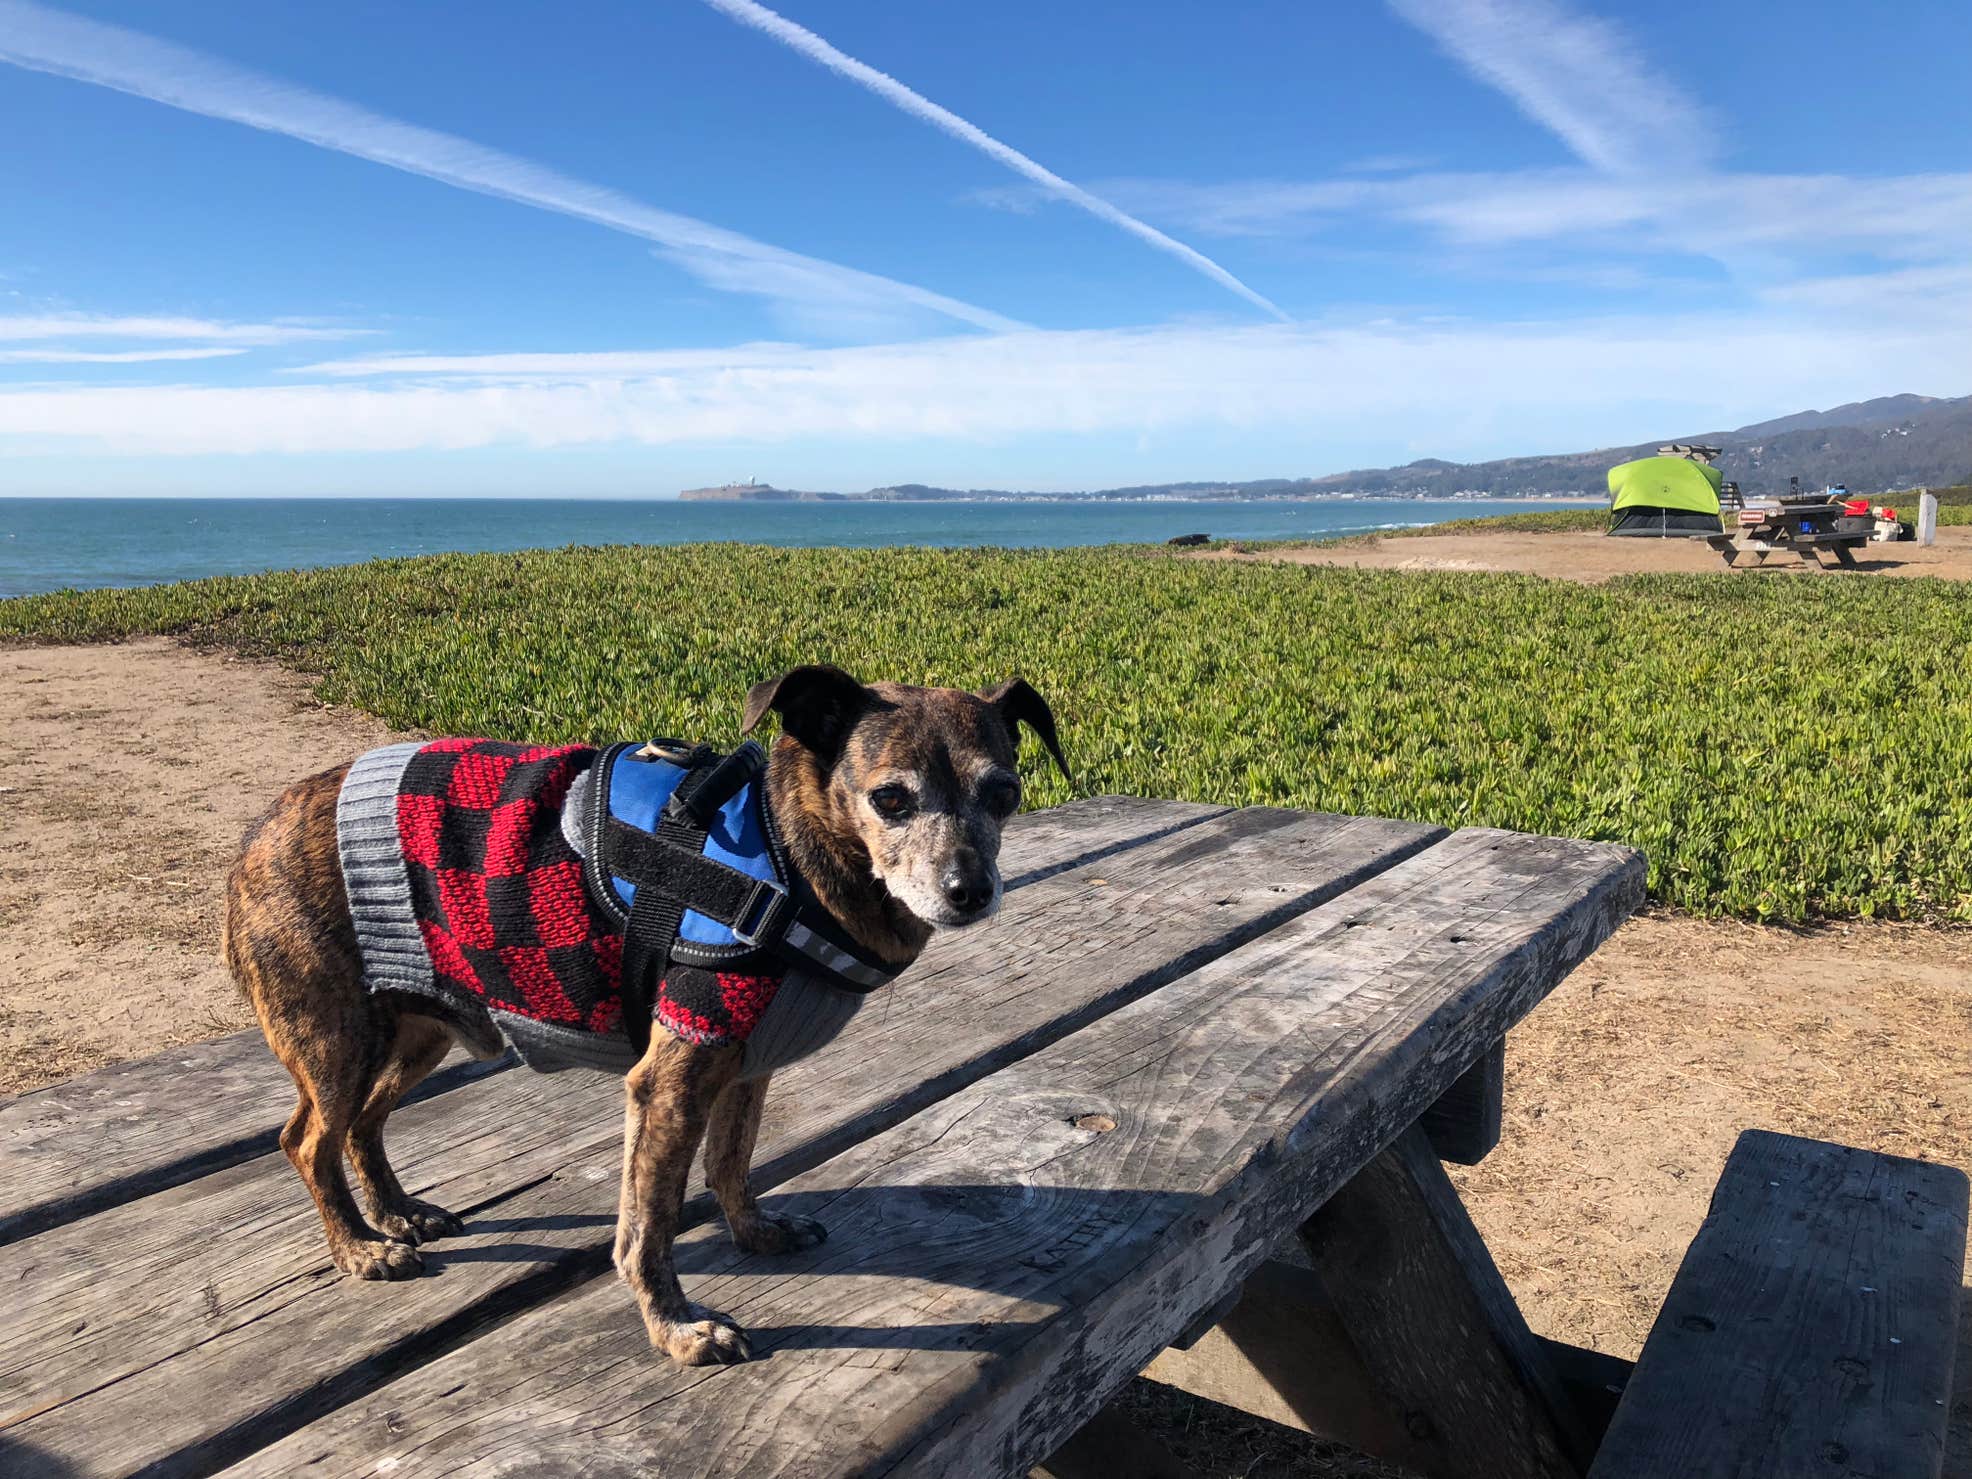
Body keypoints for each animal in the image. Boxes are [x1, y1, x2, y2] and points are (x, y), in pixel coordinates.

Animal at [225, 670, 1064, 1364]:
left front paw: (755, 1232)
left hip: (416, 1028)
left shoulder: (741, 1063)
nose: (970, 889)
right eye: (891, 798)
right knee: (307, 1140)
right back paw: (360, 1247)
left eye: (1003, 793)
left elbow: (731, 1160)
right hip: (336, 1038)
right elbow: (648, 1224)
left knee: (363, 1124)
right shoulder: (671, 1078)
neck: (788, 855)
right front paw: (677, 1328)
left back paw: (396, 1212)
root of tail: (256, 834)